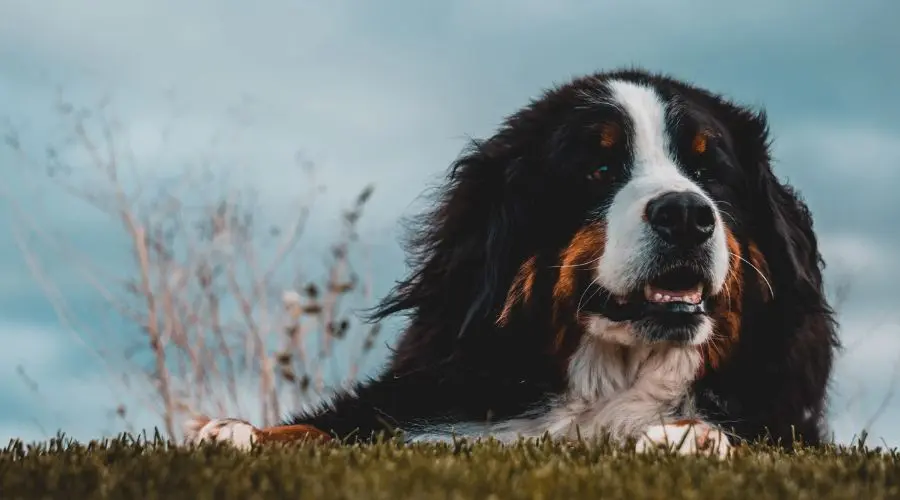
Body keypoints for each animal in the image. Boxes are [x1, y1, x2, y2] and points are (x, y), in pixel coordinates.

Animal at [186, 67, 840, 458]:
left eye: (709, 171)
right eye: (599, 169)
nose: (685, 214)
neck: (602, 392)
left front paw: (690, 438)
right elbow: (326, 428)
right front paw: (233, 431)